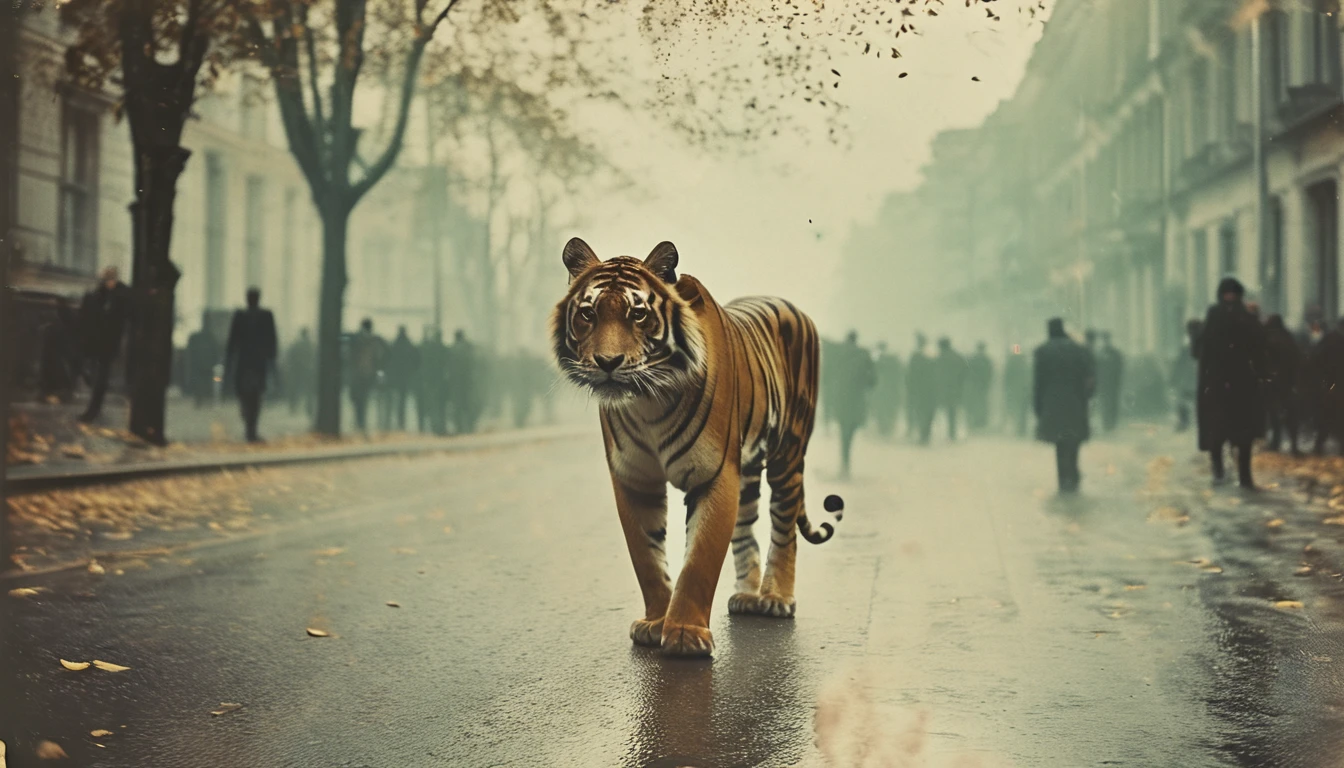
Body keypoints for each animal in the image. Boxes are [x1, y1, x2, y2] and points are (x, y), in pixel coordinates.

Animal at [551, 238, 844, 659]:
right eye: (588, 314)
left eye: (638, 314)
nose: (607, 363)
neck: (647, 401)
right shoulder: (635, 479)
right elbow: (646, 557)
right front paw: (656, 623)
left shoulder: (715, 473)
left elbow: (699, 560)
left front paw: (685, 635)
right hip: (747, 471)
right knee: (747, 526)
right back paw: (746, 597)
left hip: (788, 452)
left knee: (784, 527)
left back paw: (775, 598)